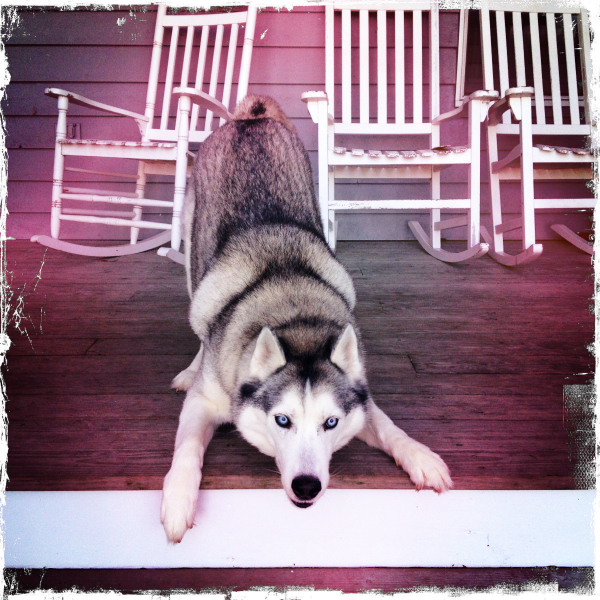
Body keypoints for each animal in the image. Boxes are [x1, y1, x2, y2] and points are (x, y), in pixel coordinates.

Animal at [161, 95, 453, 544]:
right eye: (283, 420)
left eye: (330, 422)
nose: (306, 486)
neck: (295, 316)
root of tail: (251, 119)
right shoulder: (204, 402)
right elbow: (187, 446)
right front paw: (177, 499)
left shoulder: (358, 397)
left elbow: (389, 427)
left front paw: (420, 455)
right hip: (195, 262)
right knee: (200, 321)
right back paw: (192, 365)